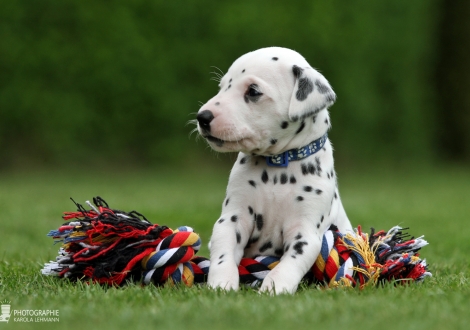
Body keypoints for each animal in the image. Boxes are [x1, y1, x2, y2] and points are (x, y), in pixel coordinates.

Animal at [196, 46, 352, 294]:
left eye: (253, 91)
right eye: (222, 87)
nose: (202, 117)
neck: (277, 167)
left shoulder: (306, 232)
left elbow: (289, 264)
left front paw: (274, 288)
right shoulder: (232, 219)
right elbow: (223, 254)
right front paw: (221, 284)